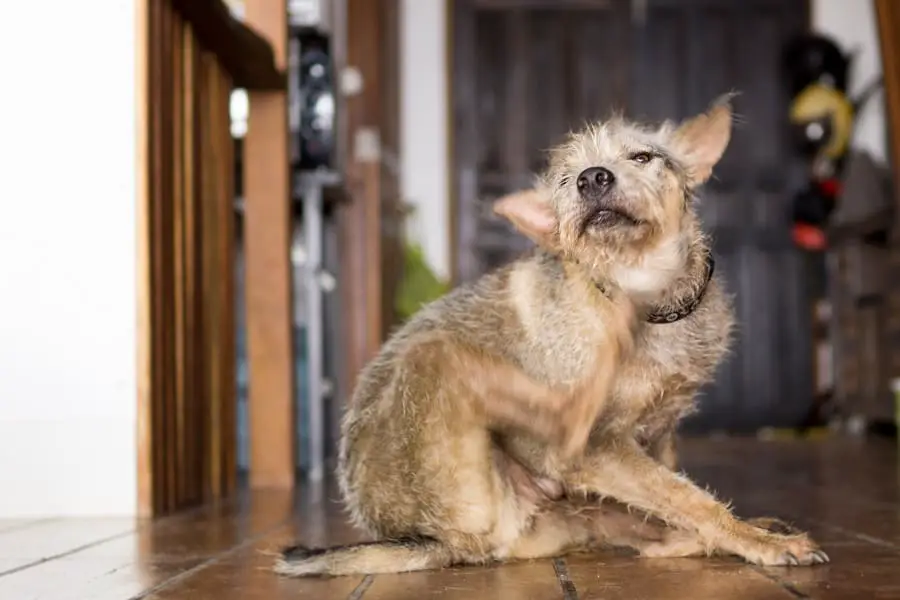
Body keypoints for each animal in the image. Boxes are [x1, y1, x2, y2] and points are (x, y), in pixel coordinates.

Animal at [276, 95, 828, 576]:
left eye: (642, 156)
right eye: (566, 179)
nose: (592, 178)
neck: (646, 295)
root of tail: (430, 540)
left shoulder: (660, 434)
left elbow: (676, 493)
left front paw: (743, 531)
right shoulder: (603, 448)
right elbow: (684, 496)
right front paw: (757, 542)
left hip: (577, 511)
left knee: (653, 533)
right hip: (441, 371)